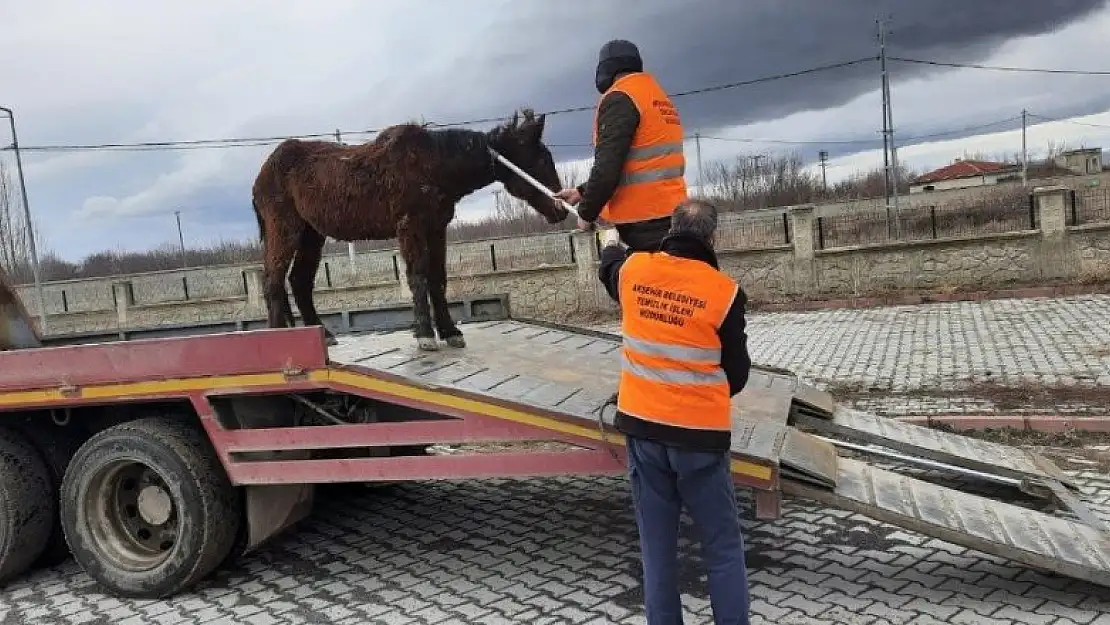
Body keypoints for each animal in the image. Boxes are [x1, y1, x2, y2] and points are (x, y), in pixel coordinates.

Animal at [249, 109, 563, 350]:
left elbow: (437, 279)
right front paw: (425, 334)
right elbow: (419, 276)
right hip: (285, 229)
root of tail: (261, 174)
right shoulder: (410, 226)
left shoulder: (436, 228)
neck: (434, 166)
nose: (561, 209)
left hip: (311, 235)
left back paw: (322, 334)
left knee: (299, 281)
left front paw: (450, 331)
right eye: (541, 160)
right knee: (273, 280)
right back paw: (276, 339)